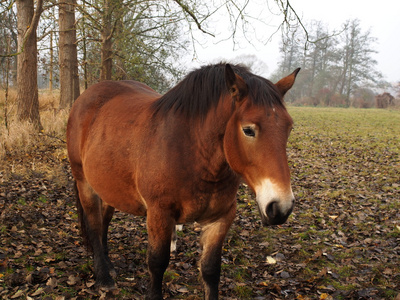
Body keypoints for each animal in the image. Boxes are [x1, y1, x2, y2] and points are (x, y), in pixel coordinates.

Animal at [67, 62, 300, 298]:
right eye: (248, 130)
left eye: (289, 127)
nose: (281, 207)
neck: (193, 152)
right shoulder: (159, 214)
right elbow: (157, 264)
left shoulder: (221, 218)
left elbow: (210, 270)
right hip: (84, 183)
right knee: (95, 225)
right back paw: (103, 276)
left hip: (109, 188)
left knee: (104, 222)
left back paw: (108, 264)